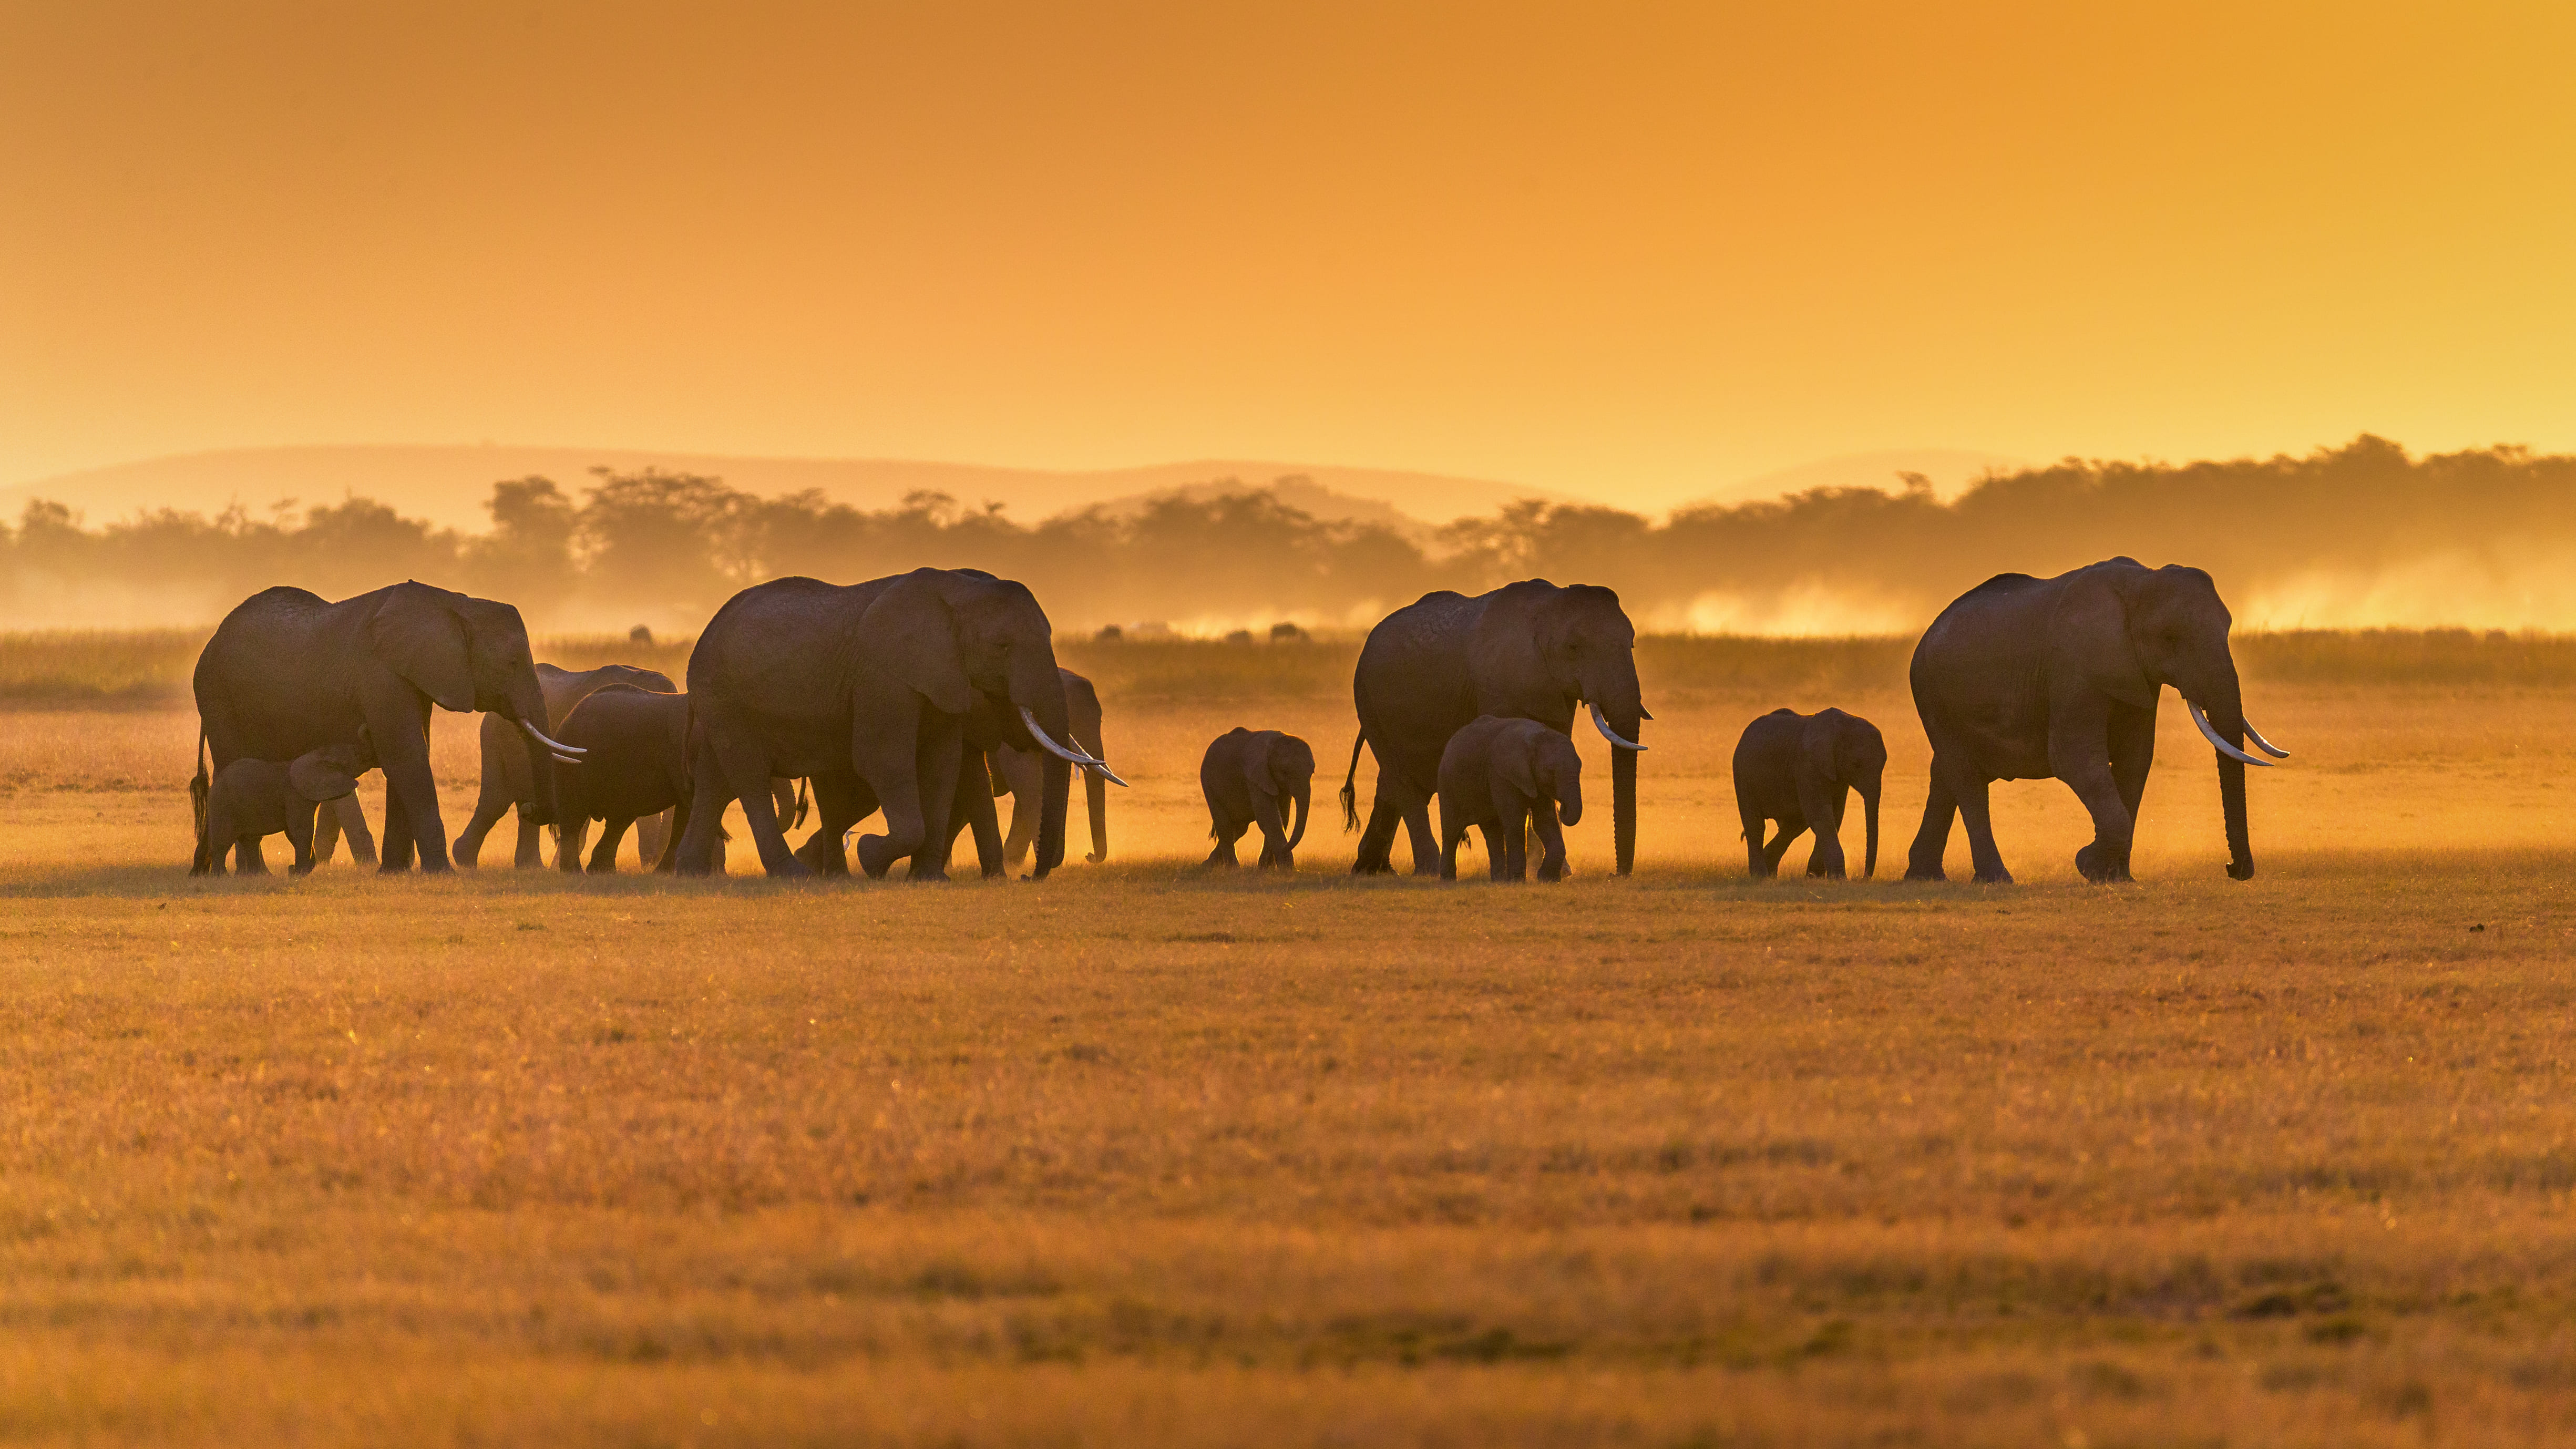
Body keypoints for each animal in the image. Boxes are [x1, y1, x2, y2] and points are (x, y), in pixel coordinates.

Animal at [191, 738, 371, 877]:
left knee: (251, 840)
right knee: (223, 840)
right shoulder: (294, 795)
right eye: (356, 754)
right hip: (223, 805)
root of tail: (214, 784)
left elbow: (293, 832)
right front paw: (298, 873)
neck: (315, 755)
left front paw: (299, 870)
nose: (290, 868)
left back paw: (258, 876)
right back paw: (222, 877)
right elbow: (301, 830)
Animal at [1198, 728, 1315, 870]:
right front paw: (1288, 870)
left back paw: (1207, 865)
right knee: (1224, 824)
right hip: (1208, 783)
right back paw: (1234, 869)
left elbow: (1282, 818)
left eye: (1312, 773)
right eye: (1285, 772)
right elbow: (1268, 817)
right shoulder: (1255, 777)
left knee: (1240, 829)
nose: (1285, 848)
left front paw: (1266, 869)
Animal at [1436, 715, 1584, 882]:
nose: (1563, 806)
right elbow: (1515, 822)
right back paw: (1448, 880)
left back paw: (1498, 880)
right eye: (1550, 772)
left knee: (1492, 832)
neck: (1537, 738)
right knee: (1452, 831)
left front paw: (1547, 879)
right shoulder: (1502, 775)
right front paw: (1517, 880)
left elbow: (1544, 821)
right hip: (1447, 784)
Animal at [1731, 707, 1884, 879]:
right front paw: (1838, 879)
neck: (1841, 726)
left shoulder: (1836, 774)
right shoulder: (1808, 765)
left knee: (1794, 826)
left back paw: (1771, 874)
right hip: (1743, 776)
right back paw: (1761, 877)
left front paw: (1815, 878)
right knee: (1755, 826)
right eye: (1856, 765)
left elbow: (1835, 815)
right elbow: (1821, 815)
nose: (1862, 877)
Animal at [1904, 557, 2288, 885]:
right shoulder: (2074, 670)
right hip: (1933, 695)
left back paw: (1925, 877)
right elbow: (2073, 758)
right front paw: (2087, 864)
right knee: (1967, 779)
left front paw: (2116, 877)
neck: (2140, 583)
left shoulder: (2135, 676)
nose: (2231, 868)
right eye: (2170, 638)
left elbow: (2135, 761)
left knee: (1945, 775)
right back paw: (1996, 879)